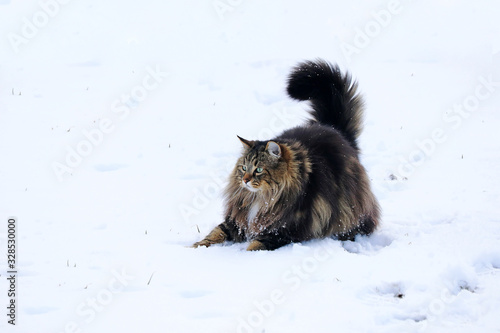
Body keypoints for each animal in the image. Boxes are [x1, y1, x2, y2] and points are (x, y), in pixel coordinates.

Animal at [193, 59, 380, 250]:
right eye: (244, 168)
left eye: (258, 169)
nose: (245, 180)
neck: (260, 198)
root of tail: (333, 129)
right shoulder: (237, 221)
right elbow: (215, 234)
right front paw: (195, 247)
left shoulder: (282, 230)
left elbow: (254, 245)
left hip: (350, 210)